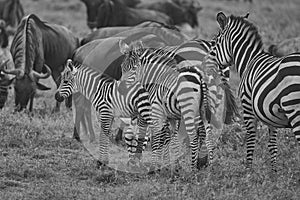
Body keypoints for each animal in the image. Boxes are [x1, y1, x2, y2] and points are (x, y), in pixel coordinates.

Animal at [118, 39, 214, 170]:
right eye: (122, 67)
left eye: (134, 68)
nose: (121, 89)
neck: (155, 80)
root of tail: (199, 76)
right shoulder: (170, 116)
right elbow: (169, 138)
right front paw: (172, 165)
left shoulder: (155, 113)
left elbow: (155, 138)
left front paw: (154, 166)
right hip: (203, 110)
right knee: (208, 134)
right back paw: (210, 165)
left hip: (188, 111)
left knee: (194, 137)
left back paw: (193, 168)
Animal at [206, 11, 300, 171]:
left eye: (214, 42)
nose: (206, 64)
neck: (249, 61)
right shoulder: (271, 114)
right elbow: (272, 146)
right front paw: (273, 172)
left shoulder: (247, 106)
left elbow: (250, 139)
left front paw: (248, 171)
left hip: (294, 109)